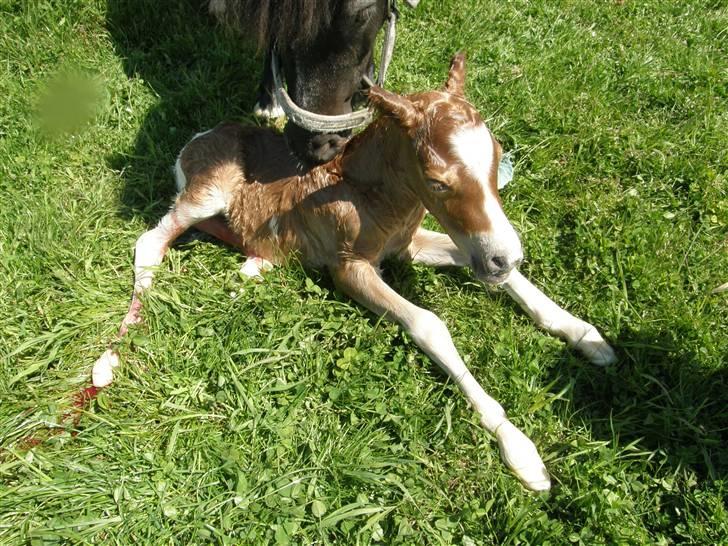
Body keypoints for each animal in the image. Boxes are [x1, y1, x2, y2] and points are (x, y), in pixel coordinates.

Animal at [91, 54, 616, 488]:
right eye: (436, 181)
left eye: (498, 156)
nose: (503, 256)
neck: (370, 194)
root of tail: (196, 139)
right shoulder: (349, 267)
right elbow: (429, 324)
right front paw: (519, 447)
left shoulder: (406, 247)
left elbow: (499, 277)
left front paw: (586, 335)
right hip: (207, 192)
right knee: (151, 243)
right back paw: (109, 360)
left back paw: (258, 263)